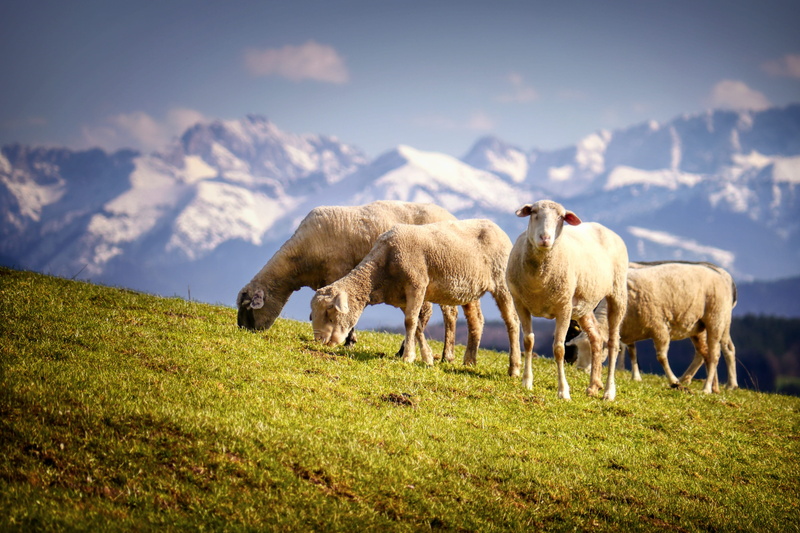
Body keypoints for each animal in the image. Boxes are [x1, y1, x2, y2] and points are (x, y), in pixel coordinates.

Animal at [237, 200, 473, 361]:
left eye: (248, 307)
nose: (243, 330)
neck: (299, 260)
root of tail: (452, 216)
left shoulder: (338, 272)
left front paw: (349, 340)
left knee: (448, 314)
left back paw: (444, 355)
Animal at [310, 219, 522, 374]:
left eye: (330, 313)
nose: (320, 341)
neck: (380, 271)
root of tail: (497, 227)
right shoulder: (402, 297)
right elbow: (416, 324)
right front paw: (427, 358)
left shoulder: (417, 285)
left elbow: (410, 322)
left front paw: (408, 357)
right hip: (469, 289)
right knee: (476, 320)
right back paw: (469, 360)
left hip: (502, 282)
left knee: (512, 321)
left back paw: (514, 369)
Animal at [506, 200, 628, 401]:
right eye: (534, 212)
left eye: (560, 217)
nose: (545, 238)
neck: (539, 279)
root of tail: (604, 228)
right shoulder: (520, 303)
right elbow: (528, 341)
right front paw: (527, 382)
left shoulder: (563, 308)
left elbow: (559, 349)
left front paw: (563, 391)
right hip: (583, 305)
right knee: (596, 338)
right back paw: (593, 386)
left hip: (617, 293)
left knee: (613, 343)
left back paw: (609, 391)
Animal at [568, 261, 738, 393]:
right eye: (578, 348)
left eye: (594, 351)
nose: (580, 369)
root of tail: (721, 275)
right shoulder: (628, 330)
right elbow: (632, 352)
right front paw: (636, 376)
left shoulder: (659, 327)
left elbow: (661, 357)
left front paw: (673, 380)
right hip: (698, 326)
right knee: (705, 353)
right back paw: (710, 386)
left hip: (716, 320)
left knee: (717, 353)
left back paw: (709, 387)